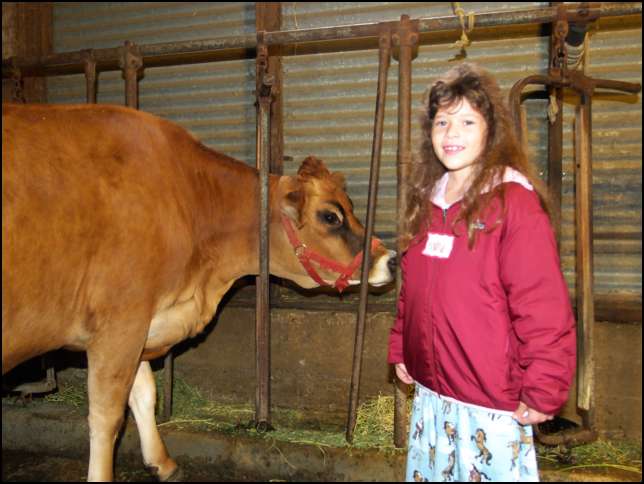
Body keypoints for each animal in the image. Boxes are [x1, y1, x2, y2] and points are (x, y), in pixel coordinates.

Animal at [2, 103, 395, 481]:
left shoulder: (142, 323)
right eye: (330, 217)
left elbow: (144, 394)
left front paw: (163, 463)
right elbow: (107, 416)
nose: (390, 259)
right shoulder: (120, 322)